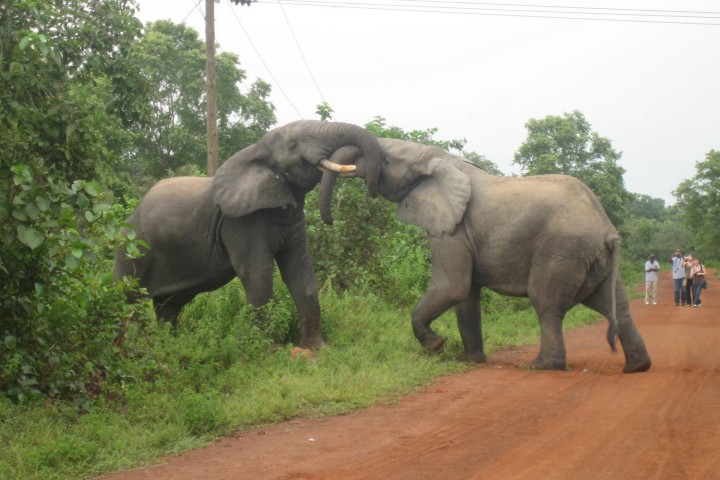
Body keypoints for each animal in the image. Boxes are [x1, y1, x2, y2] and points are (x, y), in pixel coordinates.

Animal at [114, 118, 382, 346]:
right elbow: (257, 274)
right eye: (293, 146)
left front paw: (315, 350)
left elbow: (300, 271)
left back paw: (170, 345)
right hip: (131, 251)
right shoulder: (239, 221)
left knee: (168, 306)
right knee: (124, 299)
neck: (256, 150)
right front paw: (270, 350)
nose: (330, 219)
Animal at [320, 137, 652, 374]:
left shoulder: (452, 229)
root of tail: (607, 228)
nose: (329, 221)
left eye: (387, 159)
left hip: (563, 251)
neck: (437, 157)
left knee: (546, 303)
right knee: (615, 306)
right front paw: (470, 360)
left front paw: (436, 345)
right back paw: (637, 367)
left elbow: (452, 285)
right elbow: (466, 294)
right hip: (594, 258)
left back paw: (542, 366)